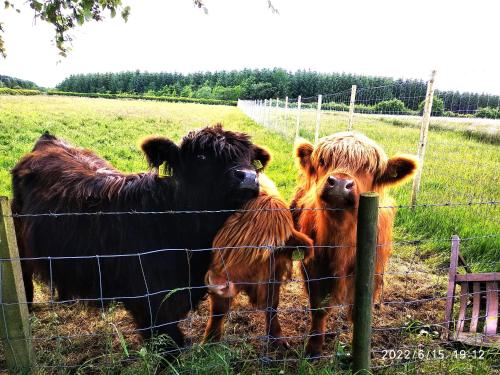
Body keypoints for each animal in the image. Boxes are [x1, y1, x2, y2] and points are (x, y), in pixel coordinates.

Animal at [203, 175, 312, 348]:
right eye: (220, 239)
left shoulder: (274, 273)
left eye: (262, 253)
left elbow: (272, 303)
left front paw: (277, 337)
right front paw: (210, 341)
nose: (216, 282)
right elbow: (219, 309)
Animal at [292, 133, 418, 358]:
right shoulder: (314, 269)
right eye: (323, 160)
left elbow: (358, 313)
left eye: (368, 167)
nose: (340, 183)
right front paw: (314, 347)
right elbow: (319, 309)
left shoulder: (371, 274)